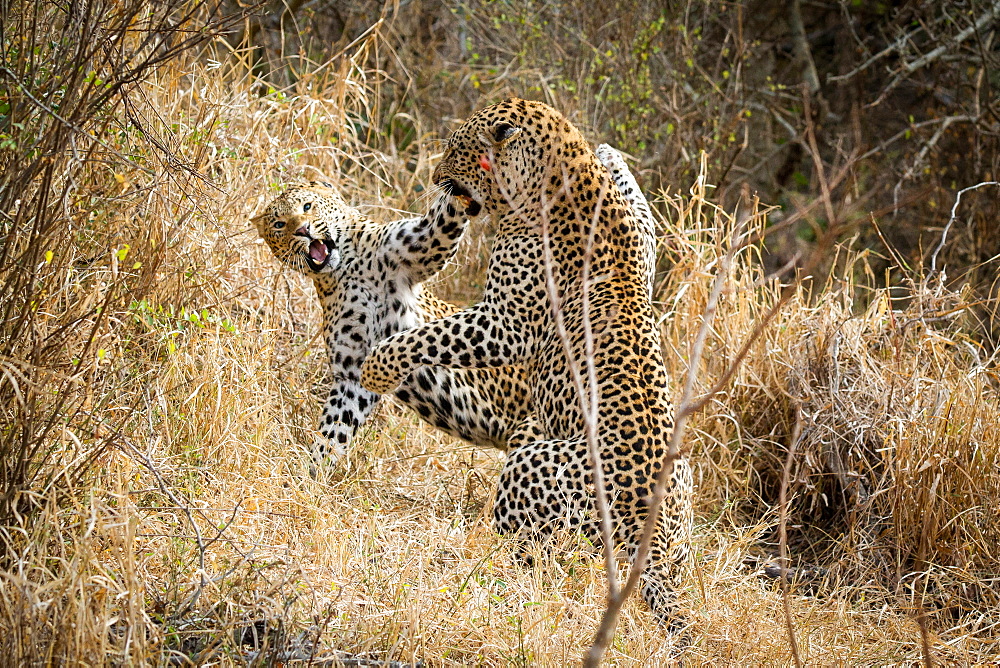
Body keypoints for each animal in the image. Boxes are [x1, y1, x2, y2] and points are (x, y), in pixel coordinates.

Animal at [254, 144, 652, 464]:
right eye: (280, 224)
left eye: (308, 206)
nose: (302, 230)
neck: (345, 269)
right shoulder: (351, 373)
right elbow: (335, 427)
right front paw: (312, 474)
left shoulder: (424, 244)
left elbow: (447, 210)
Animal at [360, 98, 696, 632]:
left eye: (456, 149)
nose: (435, 178)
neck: (559, 176)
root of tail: (654, 542)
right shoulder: (644, 241)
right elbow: (638, 201)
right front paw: (607, 150)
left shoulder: (506, 322)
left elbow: (432, 335)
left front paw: (377, 366)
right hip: (686, 481)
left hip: (533, 466)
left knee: (524, 549)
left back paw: (471, 544)